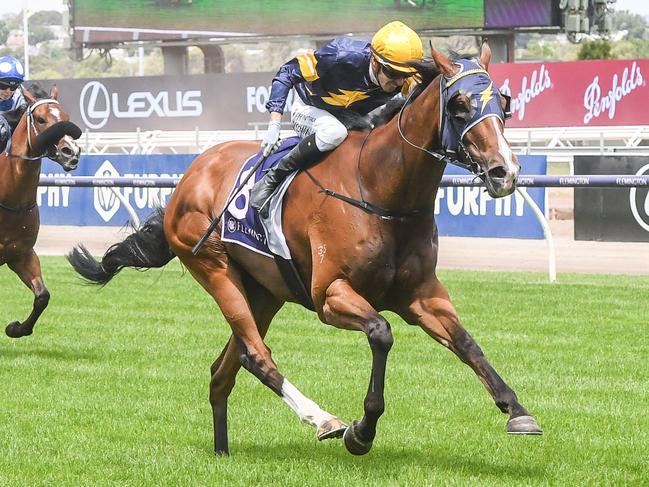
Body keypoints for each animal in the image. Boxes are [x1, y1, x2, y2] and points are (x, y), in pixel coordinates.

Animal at [0, 83, 82, 340]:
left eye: (66, 117)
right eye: (40, 119)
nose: (70, 152)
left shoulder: (21, 254)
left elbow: (42, 296)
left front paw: (17, 328)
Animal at [67, 43, 540, 458]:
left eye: (504, 102)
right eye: (459, 104)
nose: (505, 171)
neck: (380, 189)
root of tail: (191, 173)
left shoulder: (422, 296)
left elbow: (467, 343)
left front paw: (517, 411)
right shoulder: (330, 294)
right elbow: (381, 332)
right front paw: (361, 432)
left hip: (264, 291)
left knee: (226, 367)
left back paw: (222, 451)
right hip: (214, 267)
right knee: (256, 356)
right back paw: (324, 419)